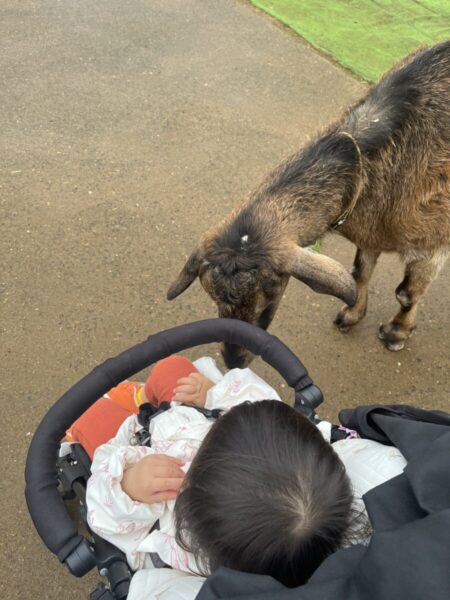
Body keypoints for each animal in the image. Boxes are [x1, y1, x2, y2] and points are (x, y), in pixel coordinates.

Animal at [168, 41, 450, 368]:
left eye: (271, 292)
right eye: (213, 298)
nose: (234, 359)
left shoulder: (432, 244)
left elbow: (406, 293)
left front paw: (396, 333)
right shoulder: (370, 235)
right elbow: (360, 272)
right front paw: (352, 315)